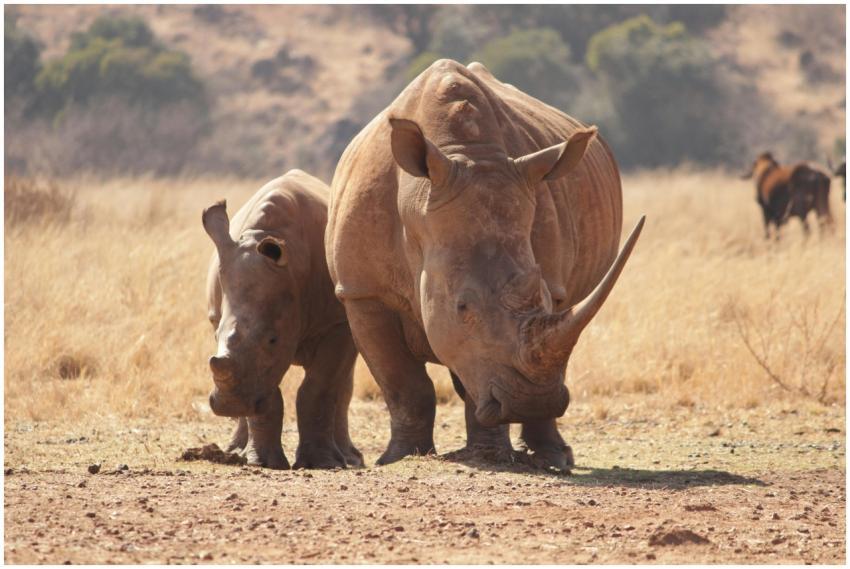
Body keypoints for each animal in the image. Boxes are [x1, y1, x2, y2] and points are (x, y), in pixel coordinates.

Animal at [203, 169, 362, 469]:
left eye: (273, 340)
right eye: (215, 334)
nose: (229, 405)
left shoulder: (337, 323)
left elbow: (319, 388)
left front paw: (322, 463)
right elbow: (266, 390)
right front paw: (263, 463)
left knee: (342, 383)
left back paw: (350, 458)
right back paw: (236, 451)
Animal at [326, 59, 644, 471]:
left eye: (544, 296)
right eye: (463, 306)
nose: (531, 402)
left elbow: (478, 369)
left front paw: (489, 455)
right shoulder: (362, 291)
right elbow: (403, 383)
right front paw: (399, 458)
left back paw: (554, 457)